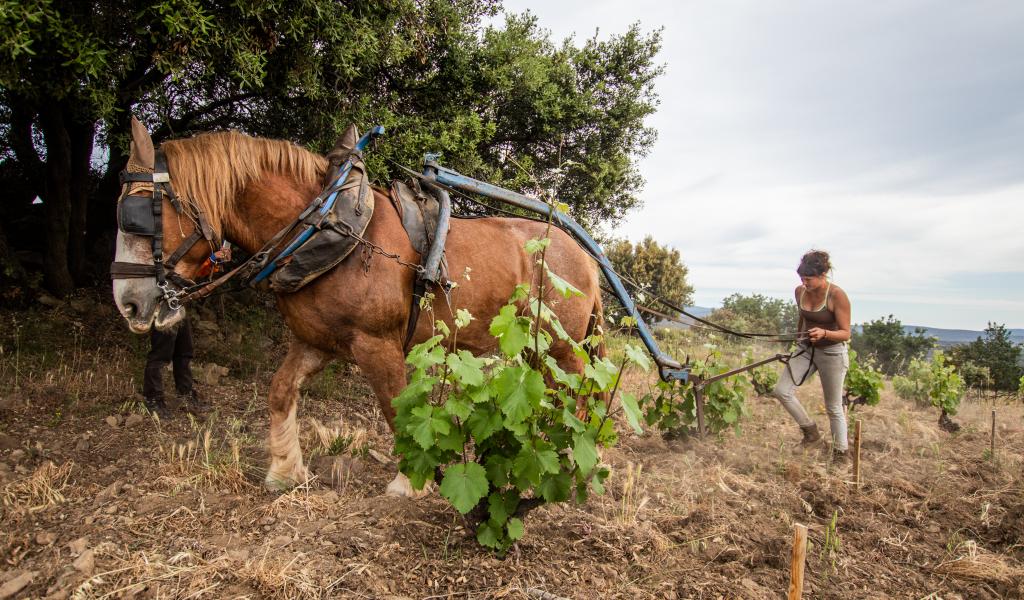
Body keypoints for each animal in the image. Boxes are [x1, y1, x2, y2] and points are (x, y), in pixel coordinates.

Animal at [114, 119, 598, 493]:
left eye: (137, 216)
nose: (128, 304)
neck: (329, 226)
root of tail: (585, 255)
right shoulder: (315, 340)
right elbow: (280, 391)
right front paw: (285, 471)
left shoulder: (376, 344)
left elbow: (396, 408)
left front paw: (410, 483)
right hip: (534, 346)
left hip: (559, 343)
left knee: (577, 391)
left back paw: (567, 453)